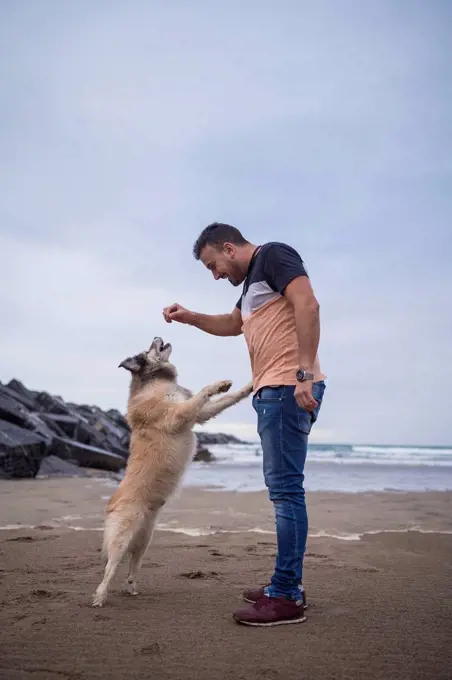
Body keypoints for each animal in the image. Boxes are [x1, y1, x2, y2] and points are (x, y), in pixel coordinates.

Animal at [92, 338, 254, 608]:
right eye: (149, 347)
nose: (158, 336)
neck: (154, 381)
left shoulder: (199, 414)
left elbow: (227, 398)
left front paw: (246, 386)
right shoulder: (179, 415)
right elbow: (202, 392)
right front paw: (218, 384)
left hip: (145, 539)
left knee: (132, 566)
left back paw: (131, 587)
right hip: (122, 534)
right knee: (110, 567)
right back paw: (100, 596)